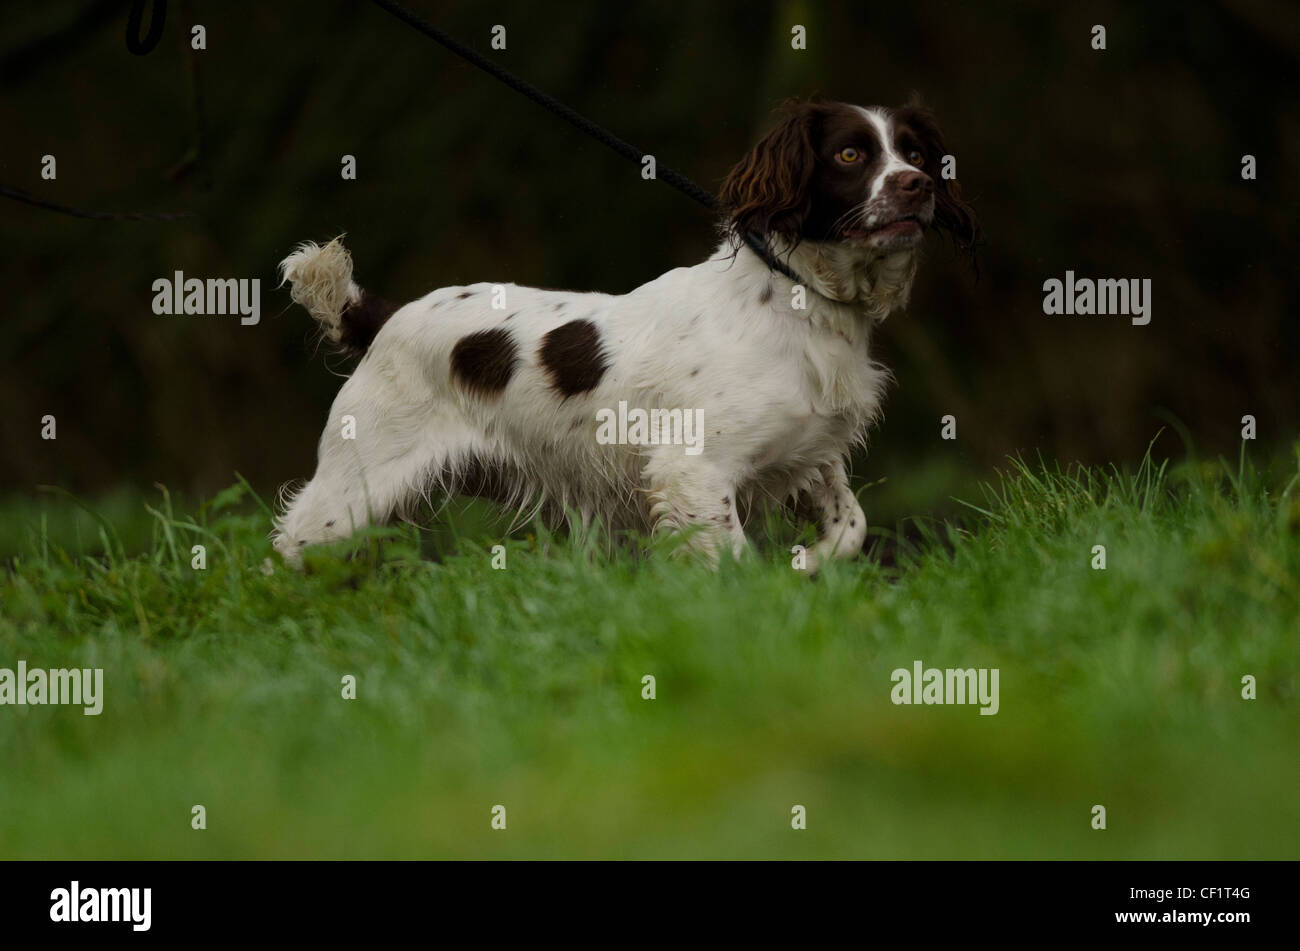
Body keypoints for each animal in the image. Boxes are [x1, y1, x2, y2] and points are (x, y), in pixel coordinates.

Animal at [271, 100, 977, 569]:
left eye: (915, 153)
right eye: (850, 154)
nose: (917, 185)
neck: (801, 299)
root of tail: (385, 315)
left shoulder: (809, 455)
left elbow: (850, 525)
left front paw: (805, 570)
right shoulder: (695, 468)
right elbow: (732, 561)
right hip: (349, 490)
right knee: (283, 553)